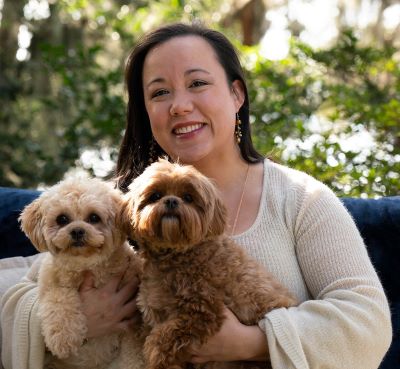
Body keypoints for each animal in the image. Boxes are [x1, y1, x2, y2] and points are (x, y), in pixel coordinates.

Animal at [19, 177, 145, 366]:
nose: (77, 230)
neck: (86, 266)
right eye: (62, 219)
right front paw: (63, 339)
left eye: (94, 217)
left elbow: (133, 357)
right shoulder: (50, 284)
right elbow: (59, 300)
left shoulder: (132, 327)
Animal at [122, 160, 296, 368]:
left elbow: (164, 338)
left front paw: (155, 354)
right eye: (155, 195)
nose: (171, 201)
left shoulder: (202, 310)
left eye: (188, 197)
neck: (176, 255)